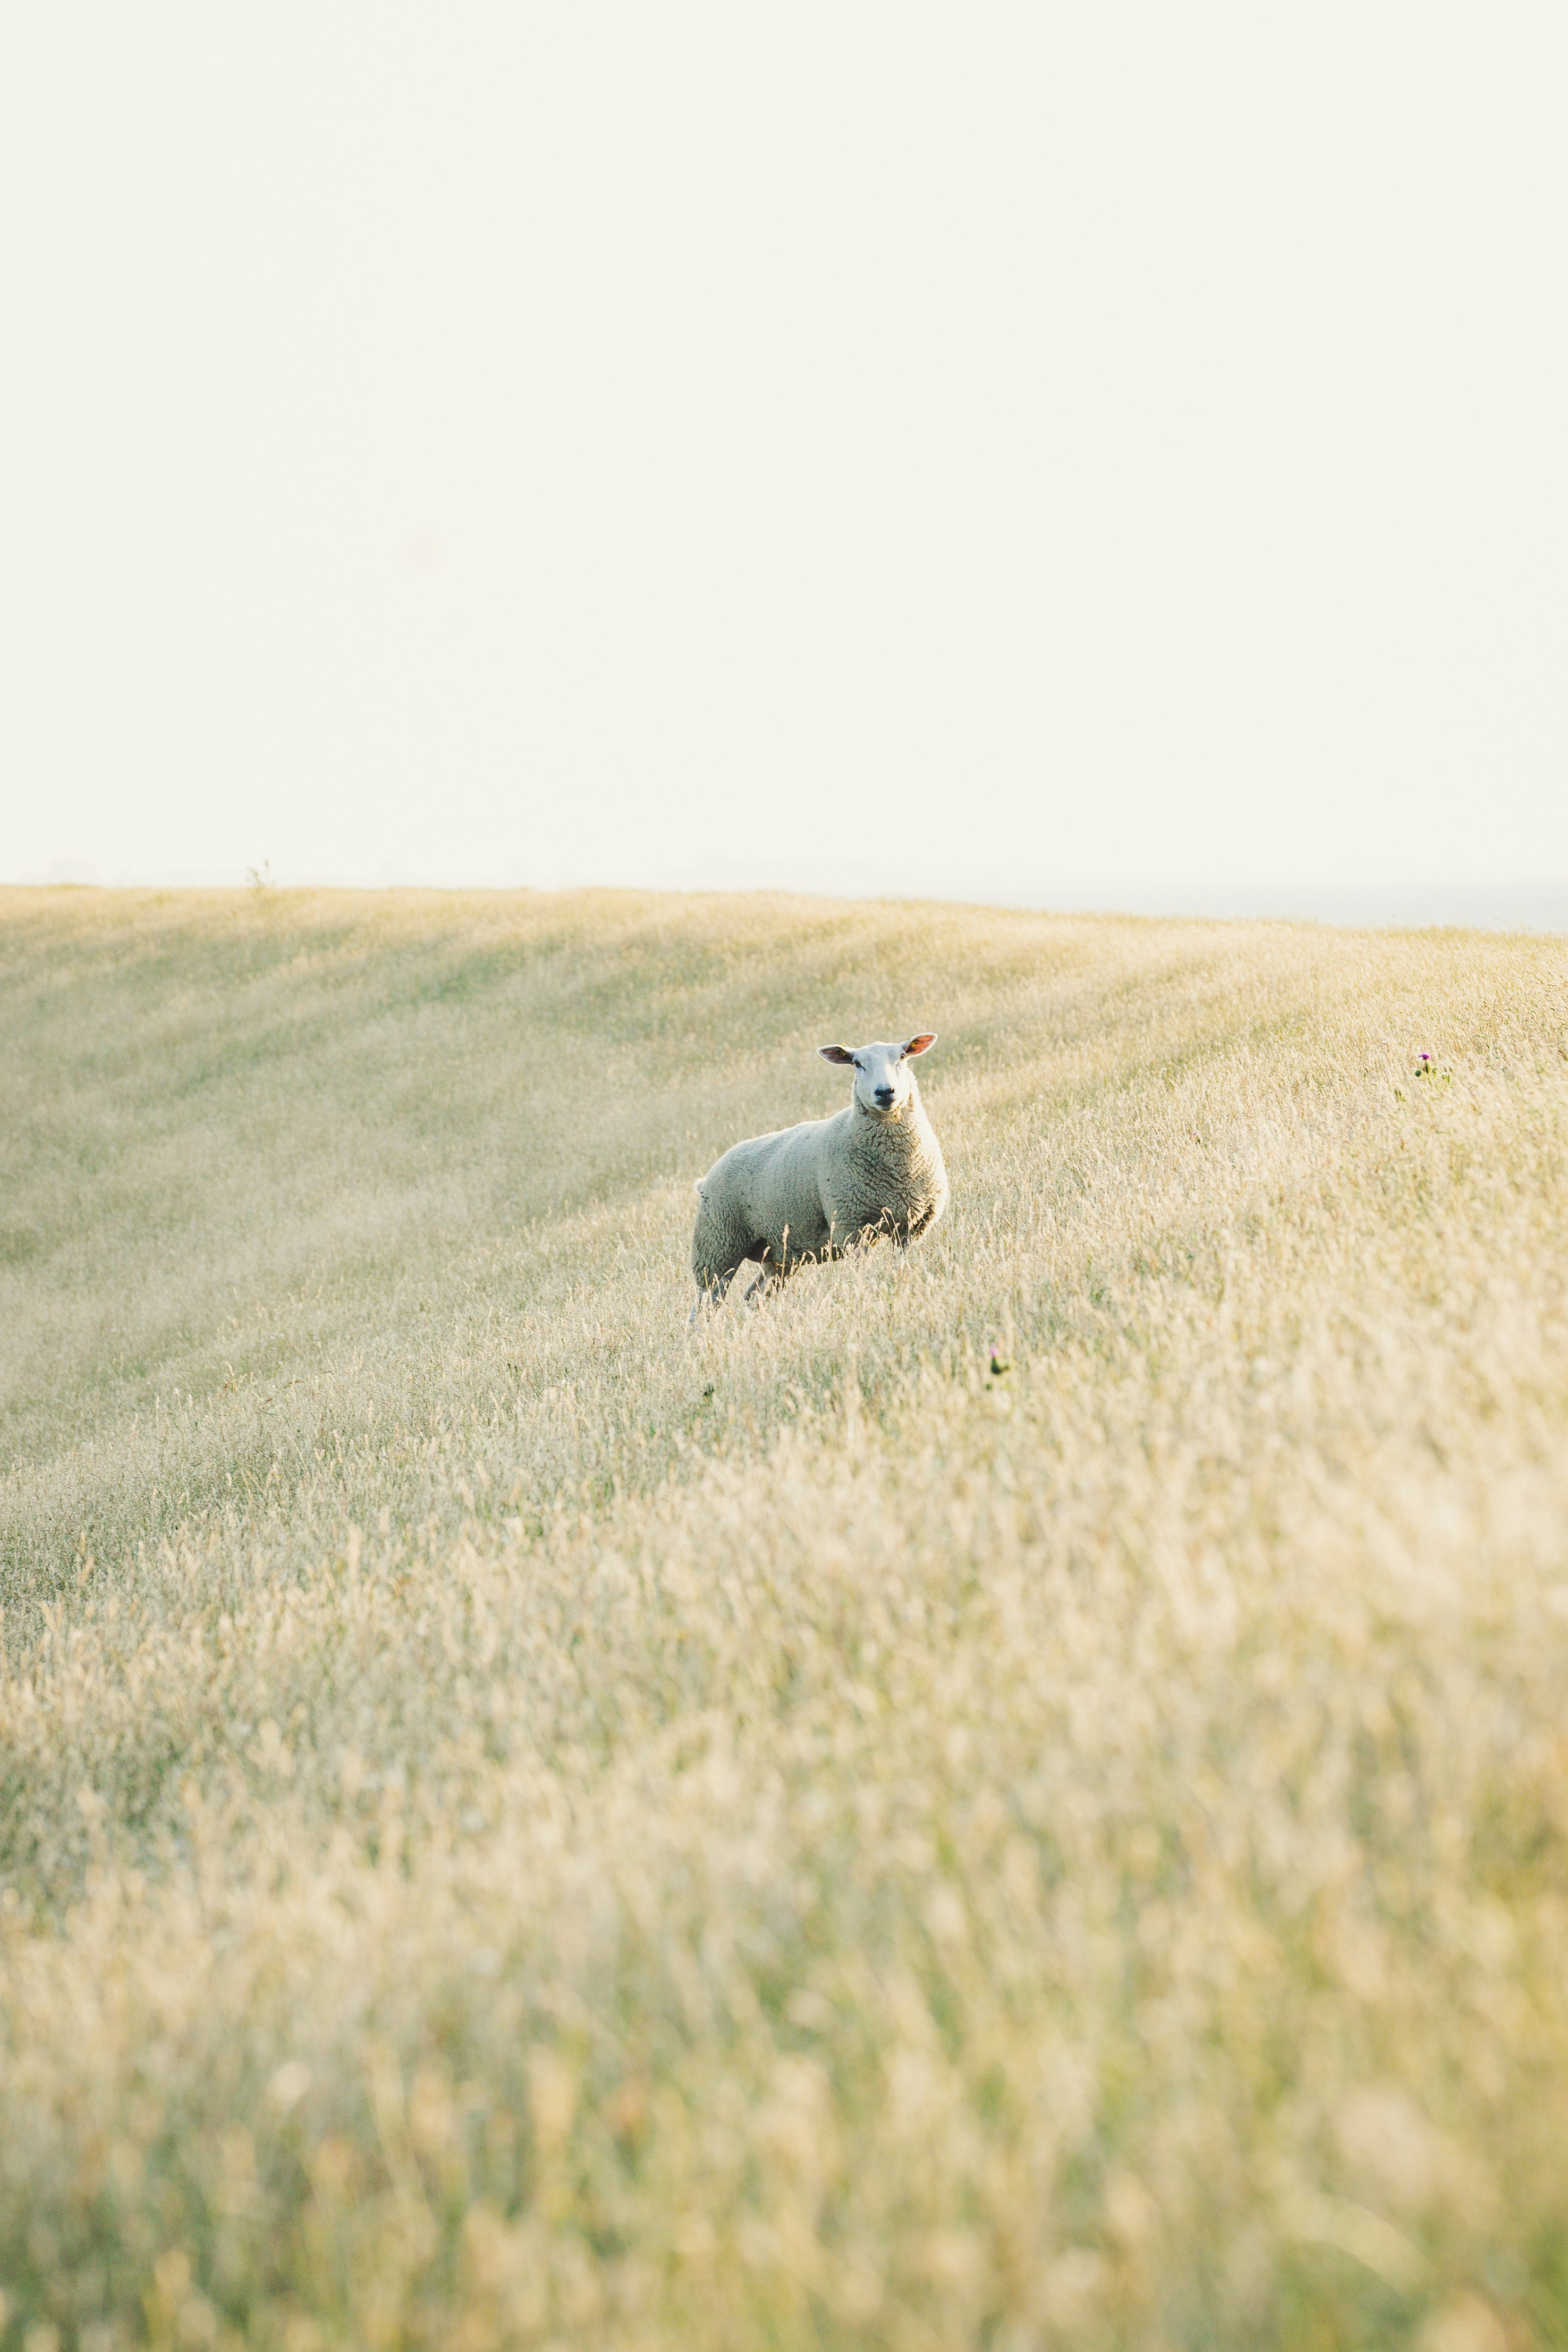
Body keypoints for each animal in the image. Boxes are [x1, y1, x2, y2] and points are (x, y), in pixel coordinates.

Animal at [690, 1034, 947, 1319]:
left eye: (902, 1057)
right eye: (857, 1064)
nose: (884, 1092)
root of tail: (706, 1178)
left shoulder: (911, 1225)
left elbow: (900, 1265)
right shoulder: (852, 1227)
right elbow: (864, 1274)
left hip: (777, 1254)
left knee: (754, 1294)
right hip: (717, 1246)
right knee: (706, 1303)